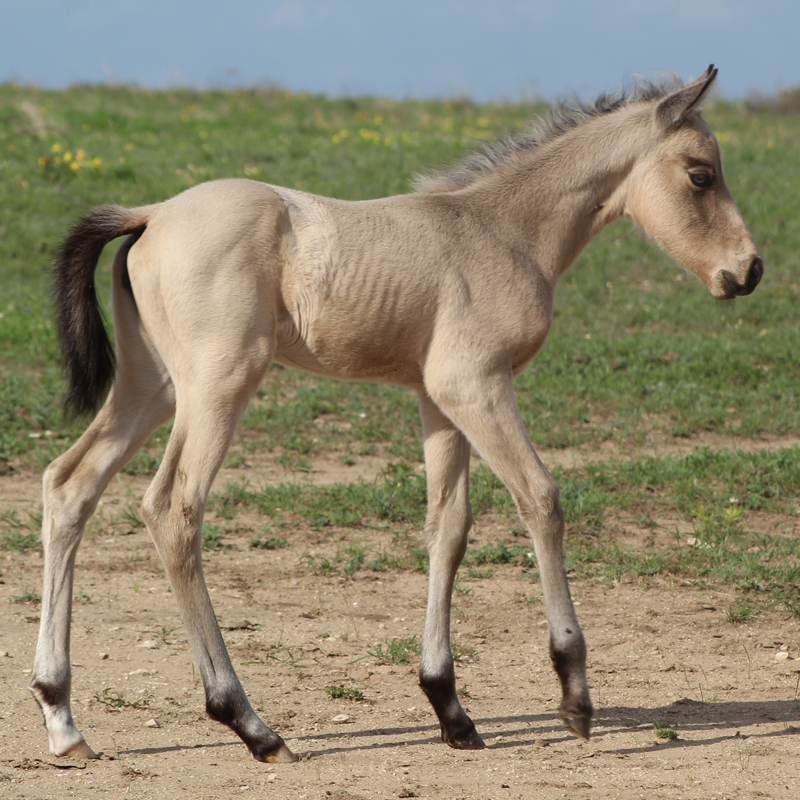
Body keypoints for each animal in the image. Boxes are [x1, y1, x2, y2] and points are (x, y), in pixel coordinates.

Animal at [31, 66, 762, 764]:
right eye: (701, 174)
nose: (749, 270)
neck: (504, 230)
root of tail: (150, 213)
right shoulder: (477, 386)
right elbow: (541, 499)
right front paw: (575, 697)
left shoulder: (437, 399)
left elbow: (449, 526)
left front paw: (450, 708)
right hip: (218, 386)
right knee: (173, 509)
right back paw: (250, 724)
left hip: (152, 387)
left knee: (70, 485)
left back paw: (62, 717)